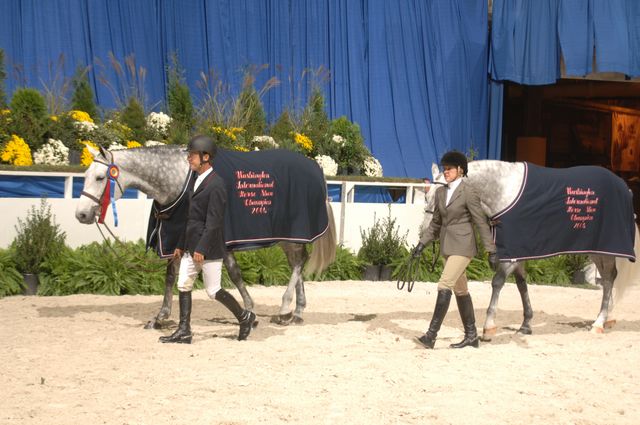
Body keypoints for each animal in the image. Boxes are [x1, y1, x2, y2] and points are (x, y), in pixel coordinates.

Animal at [75, 144, 338, 326]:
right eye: (85, 176)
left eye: (100, 177)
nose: (82, 214)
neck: (180, 179)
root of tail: (317, 171)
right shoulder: (178, 237)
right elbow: (171, 276)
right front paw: (161, 316)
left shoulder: (216, 236)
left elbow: (234, 274)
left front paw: (250, 310)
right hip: (288, 237)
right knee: (297, 264)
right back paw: (296, 313)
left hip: (294, 232)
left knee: (299, 264)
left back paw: (285, 309)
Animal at [420, 159, 640, 338]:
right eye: (426, 197)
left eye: (444, 196)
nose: (425, 231)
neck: (503, 191)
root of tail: (624, 187)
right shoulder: (518, 252)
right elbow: (521, 285)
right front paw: (525, 325)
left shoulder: (510, 256)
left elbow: (497, 283)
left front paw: (489, 327)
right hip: (594, 249)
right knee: (608, 278)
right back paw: (606, 318)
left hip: (605, 248)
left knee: (609, 278)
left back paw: (599, 323)